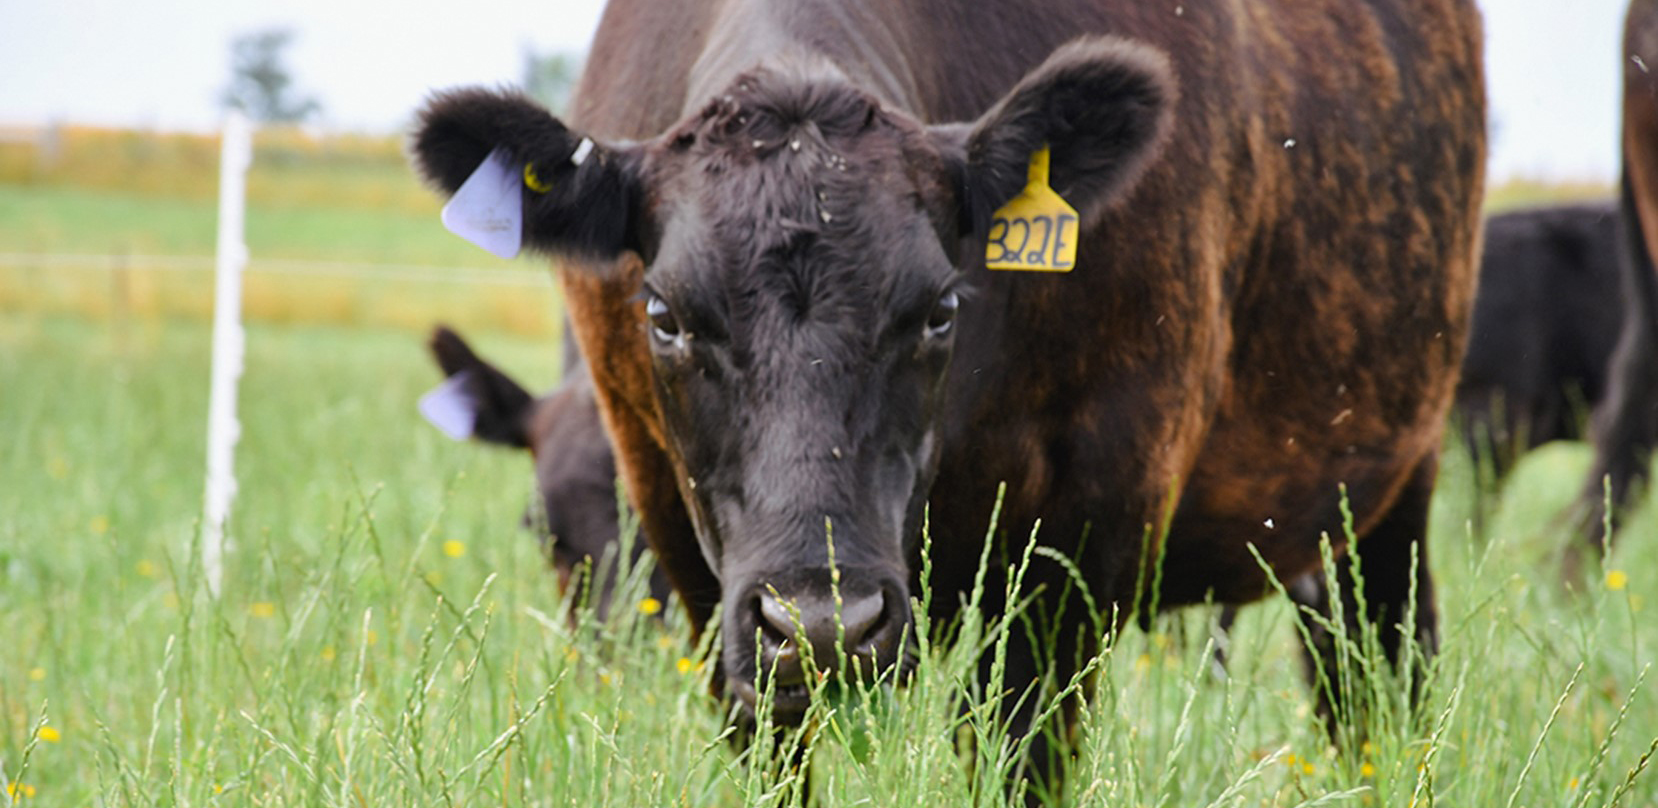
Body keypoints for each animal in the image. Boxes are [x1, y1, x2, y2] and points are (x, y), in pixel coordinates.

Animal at [407, 0, 1485, 793]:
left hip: (1391, 490)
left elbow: (1017, 751)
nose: (825, 625)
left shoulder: (1090, 521)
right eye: (664, 314)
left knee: (1376, 676)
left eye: (937, 309)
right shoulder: (688, 539)